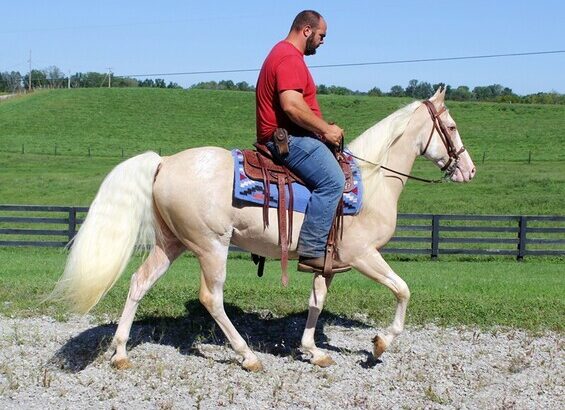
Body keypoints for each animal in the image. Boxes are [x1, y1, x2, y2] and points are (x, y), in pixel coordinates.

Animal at [51, 89, 476, 372]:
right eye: (452, 126)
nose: (469, 170)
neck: (372, 182)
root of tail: (165, 161)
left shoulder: (327, 262)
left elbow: (316, 302)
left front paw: (311, 350)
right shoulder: (363, 255)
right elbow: (402, 290)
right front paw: (380, 344)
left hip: (172, 244)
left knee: (139, 282)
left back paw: (121, 352)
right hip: (211, 246)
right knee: (211, 298)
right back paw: (247, 355)